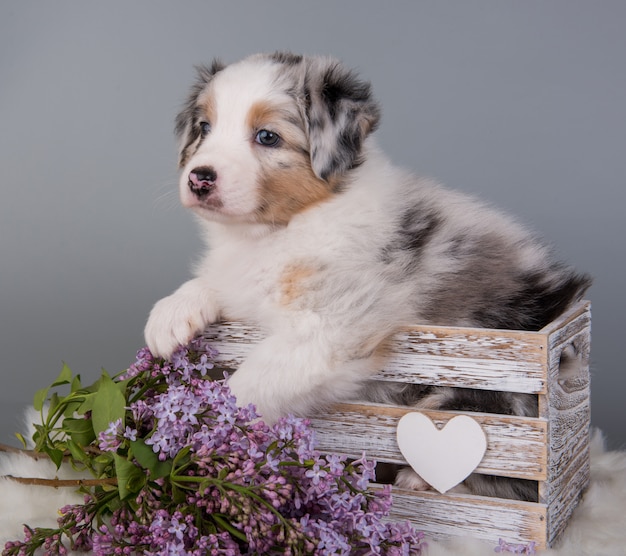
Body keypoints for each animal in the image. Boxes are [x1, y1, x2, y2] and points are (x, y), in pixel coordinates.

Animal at [146, 53, 588, 500]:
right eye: (204, 128)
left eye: (267, 137)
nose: (199, 178)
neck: (278, 230)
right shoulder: (245, 285)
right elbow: (216, 284)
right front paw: (169, 316)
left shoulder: (334, 328)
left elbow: (246, 386)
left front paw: (195, 436)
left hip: (491, 391)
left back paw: (419, 479)